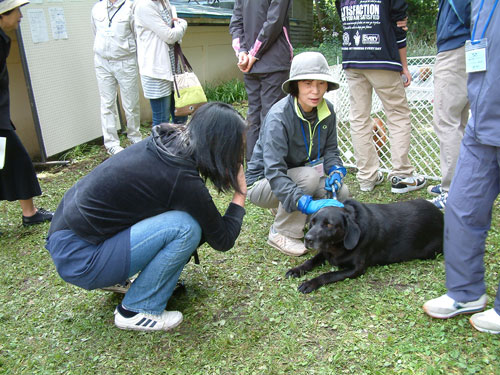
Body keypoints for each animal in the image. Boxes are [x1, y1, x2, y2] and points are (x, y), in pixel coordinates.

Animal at [288, 200, 444, 294]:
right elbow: (310, 261)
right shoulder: (325, 252)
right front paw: (296, 270)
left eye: (329, 225)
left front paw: (310, 283)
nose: (307, 239)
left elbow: (328, 274)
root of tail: (441, 215)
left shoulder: (356, 269)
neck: (338, 246)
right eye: (313, 222)